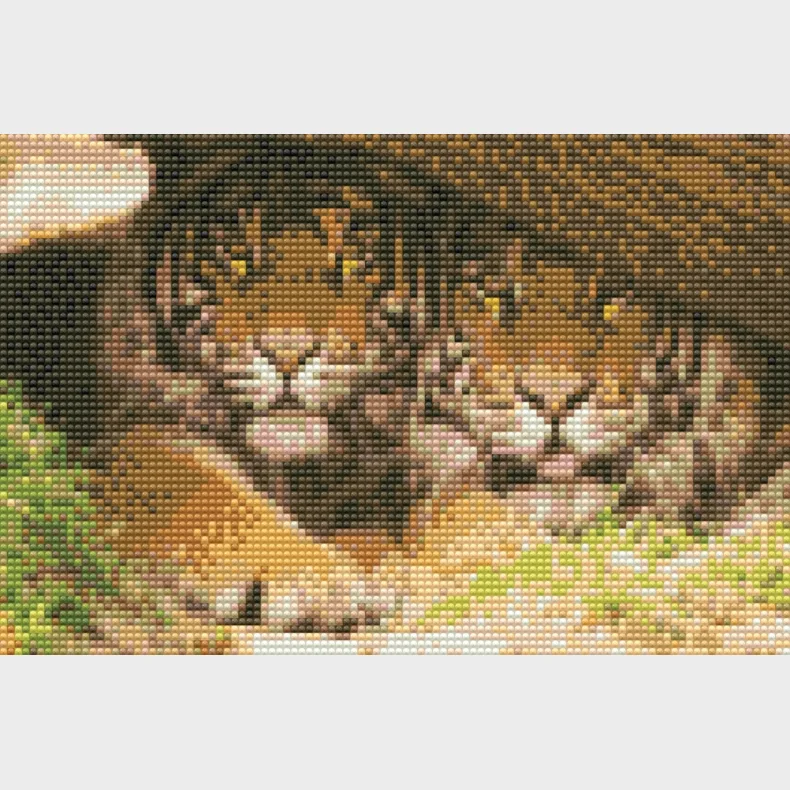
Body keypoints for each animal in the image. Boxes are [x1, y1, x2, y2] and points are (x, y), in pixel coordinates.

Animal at [93, 155, 429, 630]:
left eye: (348, 262)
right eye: (237, 261)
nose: (287, 352)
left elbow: (374, 532)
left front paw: (394, 572)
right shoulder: (127, 433)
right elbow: (202, 489)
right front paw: (319, 581)